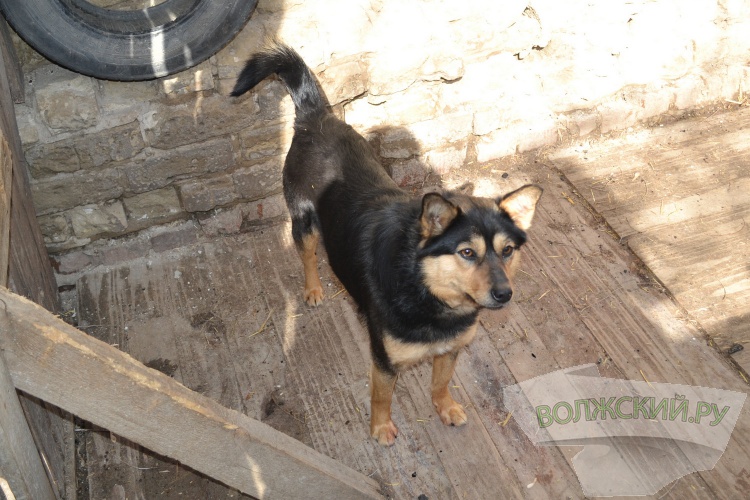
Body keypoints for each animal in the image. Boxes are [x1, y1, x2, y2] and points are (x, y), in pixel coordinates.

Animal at [231, 45, 542, 446]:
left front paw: (446, 407)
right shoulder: (384, 359)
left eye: (507, 251)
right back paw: (313, 288)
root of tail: (316, 115)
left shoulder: (450, 349)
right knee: (309, 255)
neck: (428, 292)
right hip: (303, 219)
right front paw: (380, 428)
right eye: (467, 252)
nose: (505, 294)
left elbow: (441, 384)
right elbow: (382, 396)